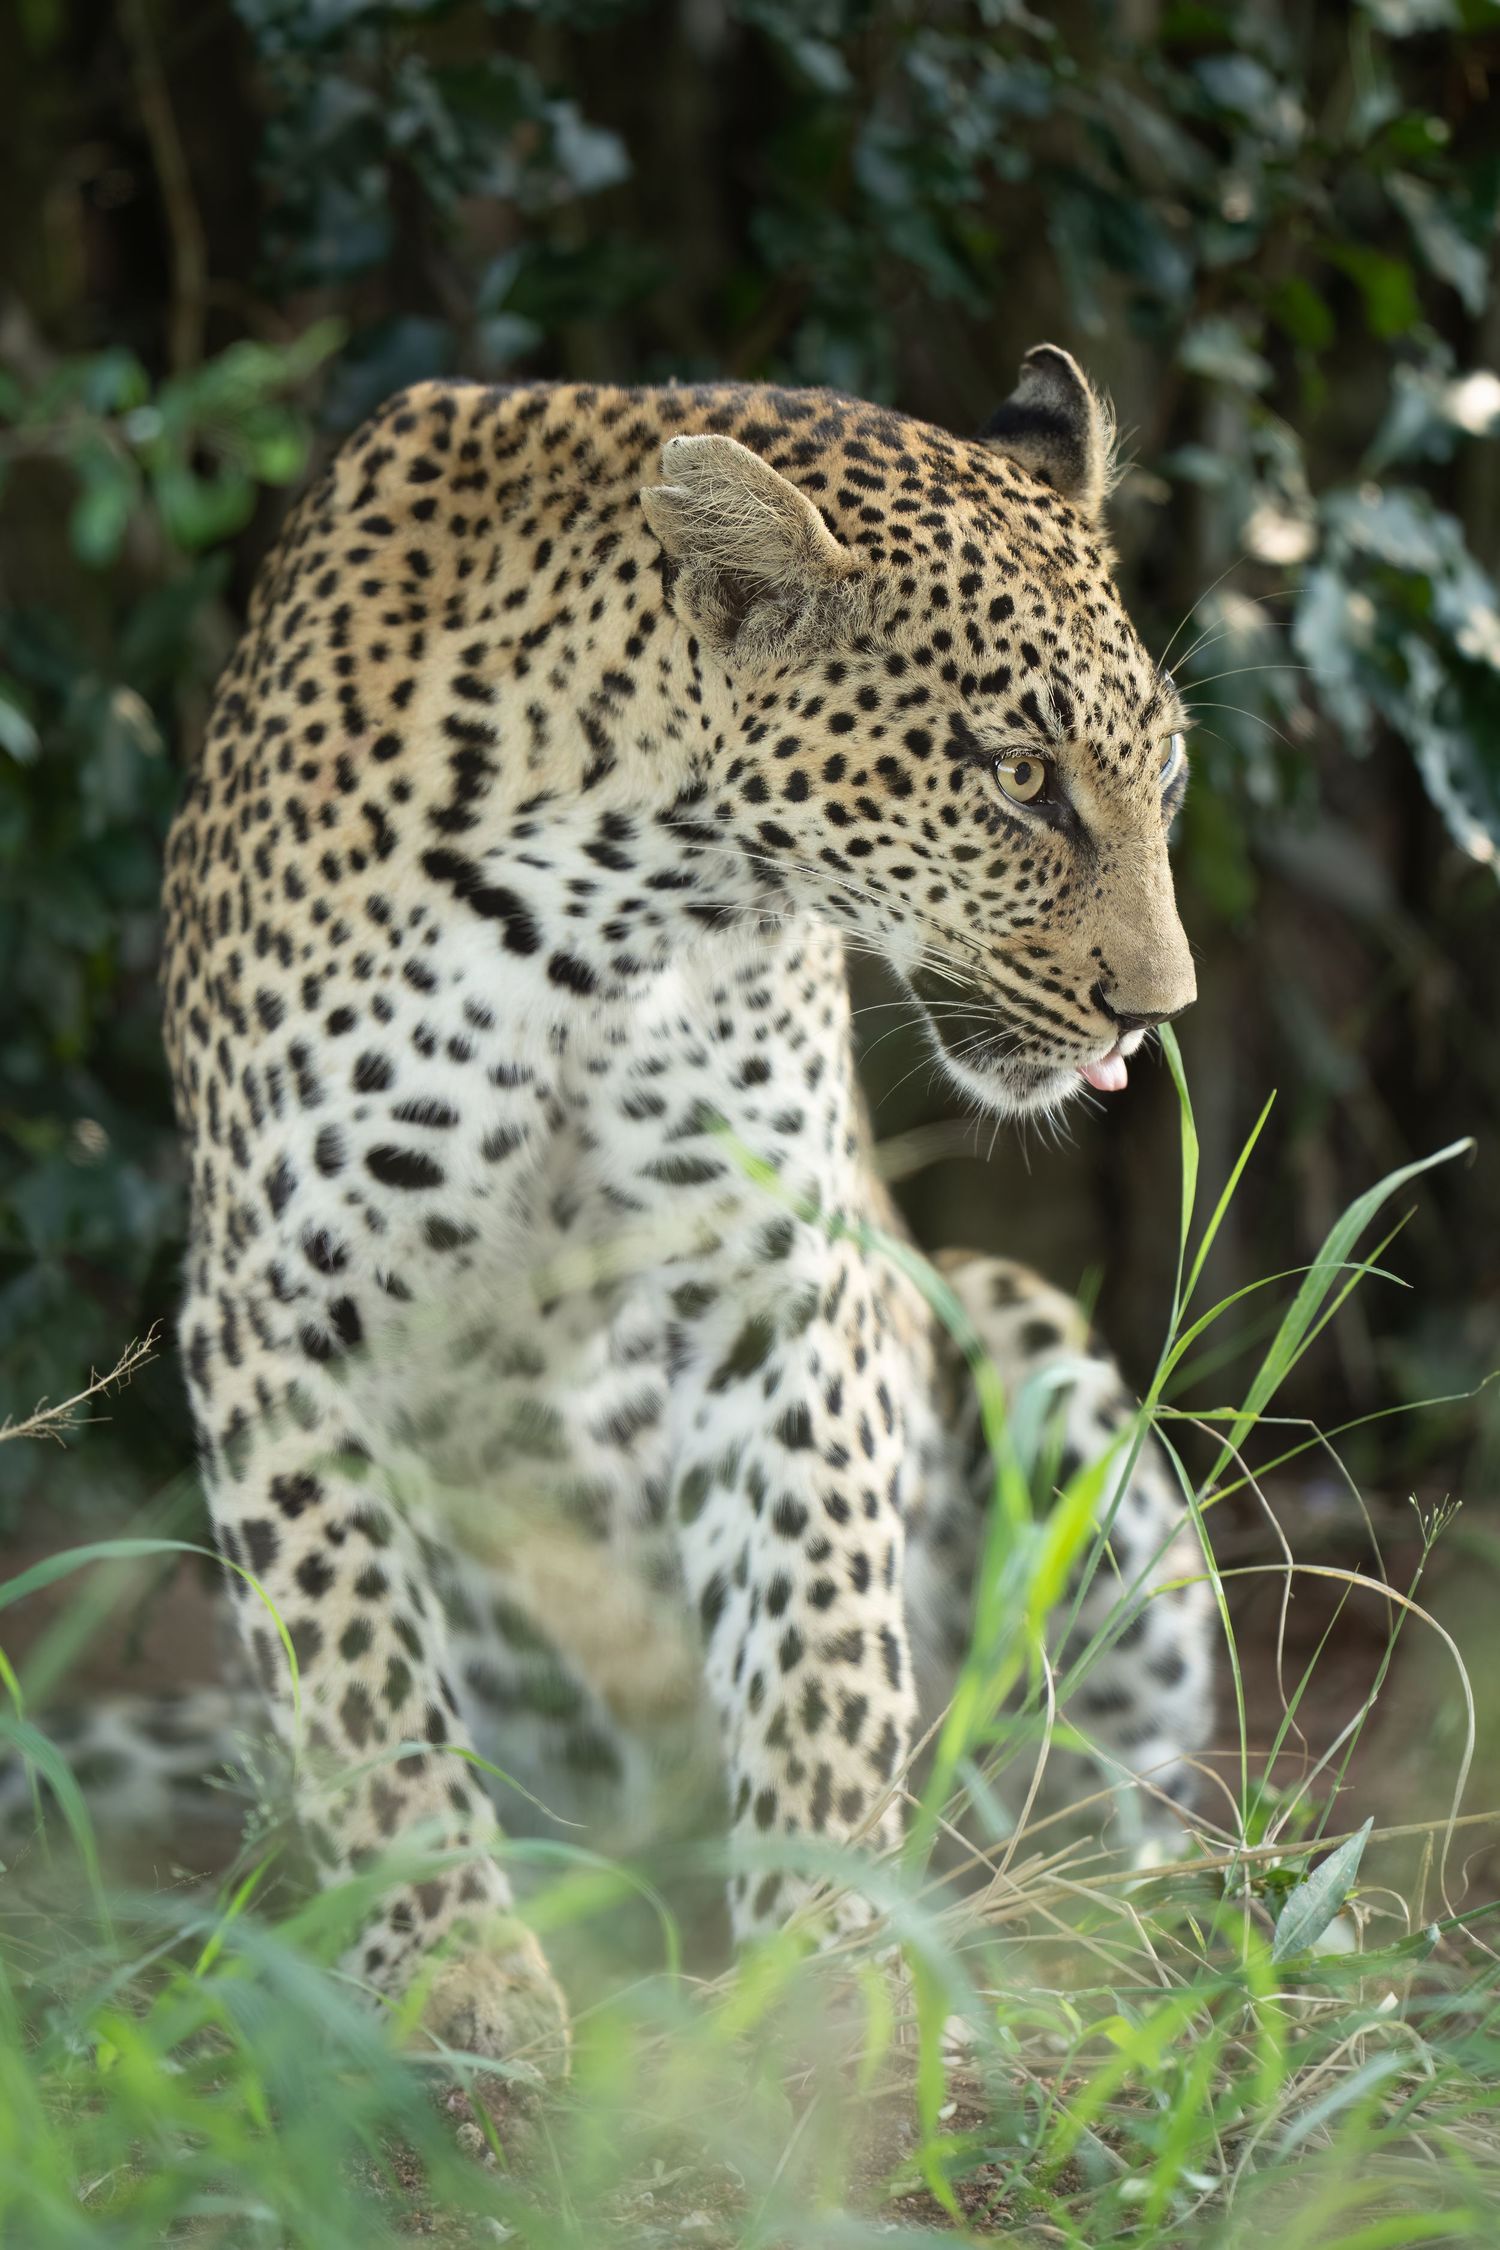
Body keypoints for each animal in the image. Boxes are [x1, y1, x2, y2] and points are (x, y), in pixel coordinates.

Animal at [11, 346, 1215, 2078]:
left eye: (1164, 769)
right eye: (1018, 778)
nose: (1157, 1015)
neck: (612, 903)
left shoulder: (778, 1287)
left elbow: (820, 1639)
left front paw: (829, 1962)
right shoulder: (279, 1301)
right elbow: (361, 1674)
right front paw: (456, 1970)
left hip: (1027, 1339)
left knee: (1120, 1790)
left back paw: (1073, 1923)